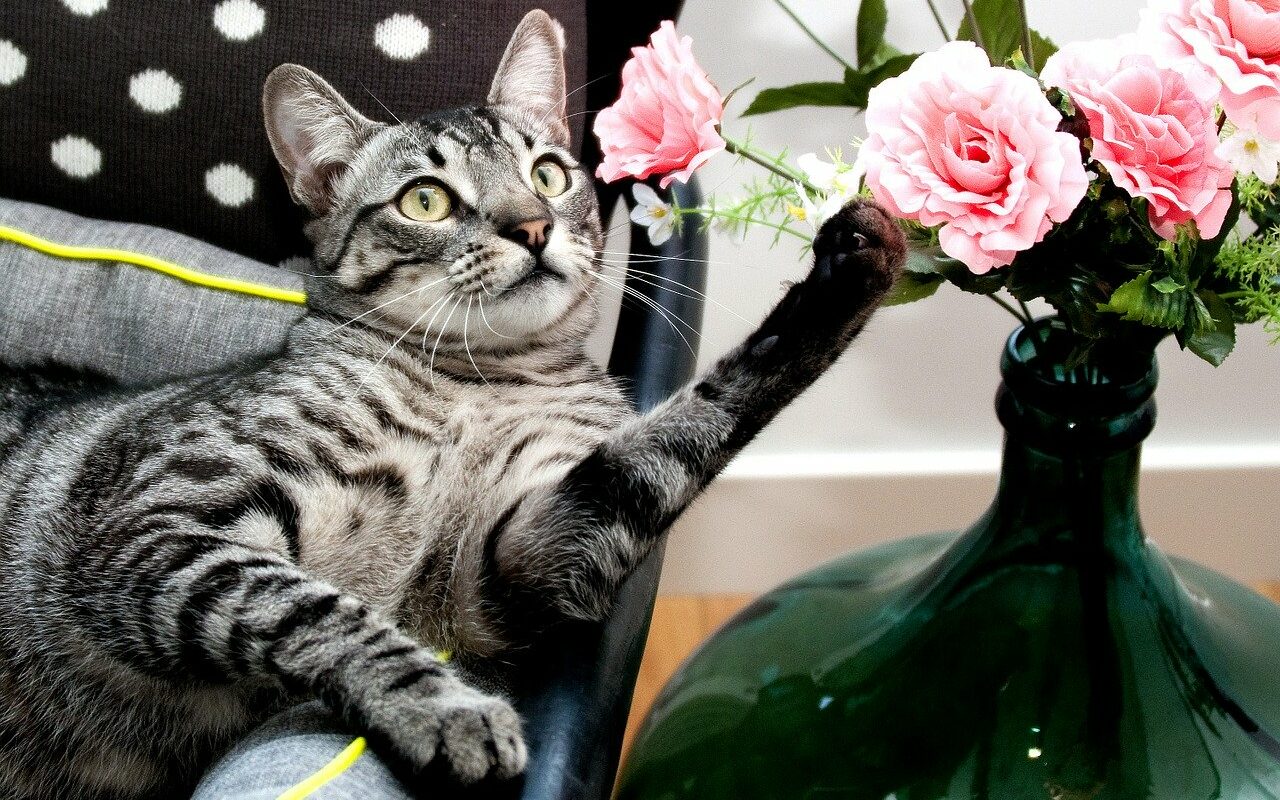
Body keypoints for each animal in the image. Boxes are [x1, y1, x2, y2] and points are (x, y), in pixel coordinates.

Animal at [0, 7, 906, 798]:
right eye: (425, 200)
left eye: (549, 173)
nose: (532, 226)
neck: (478, 386)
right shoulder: (153, 522)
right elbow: (310, 607)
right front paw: (444, 709)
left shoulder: (515, 557)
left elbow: (681, 430)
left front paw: (848, 273)